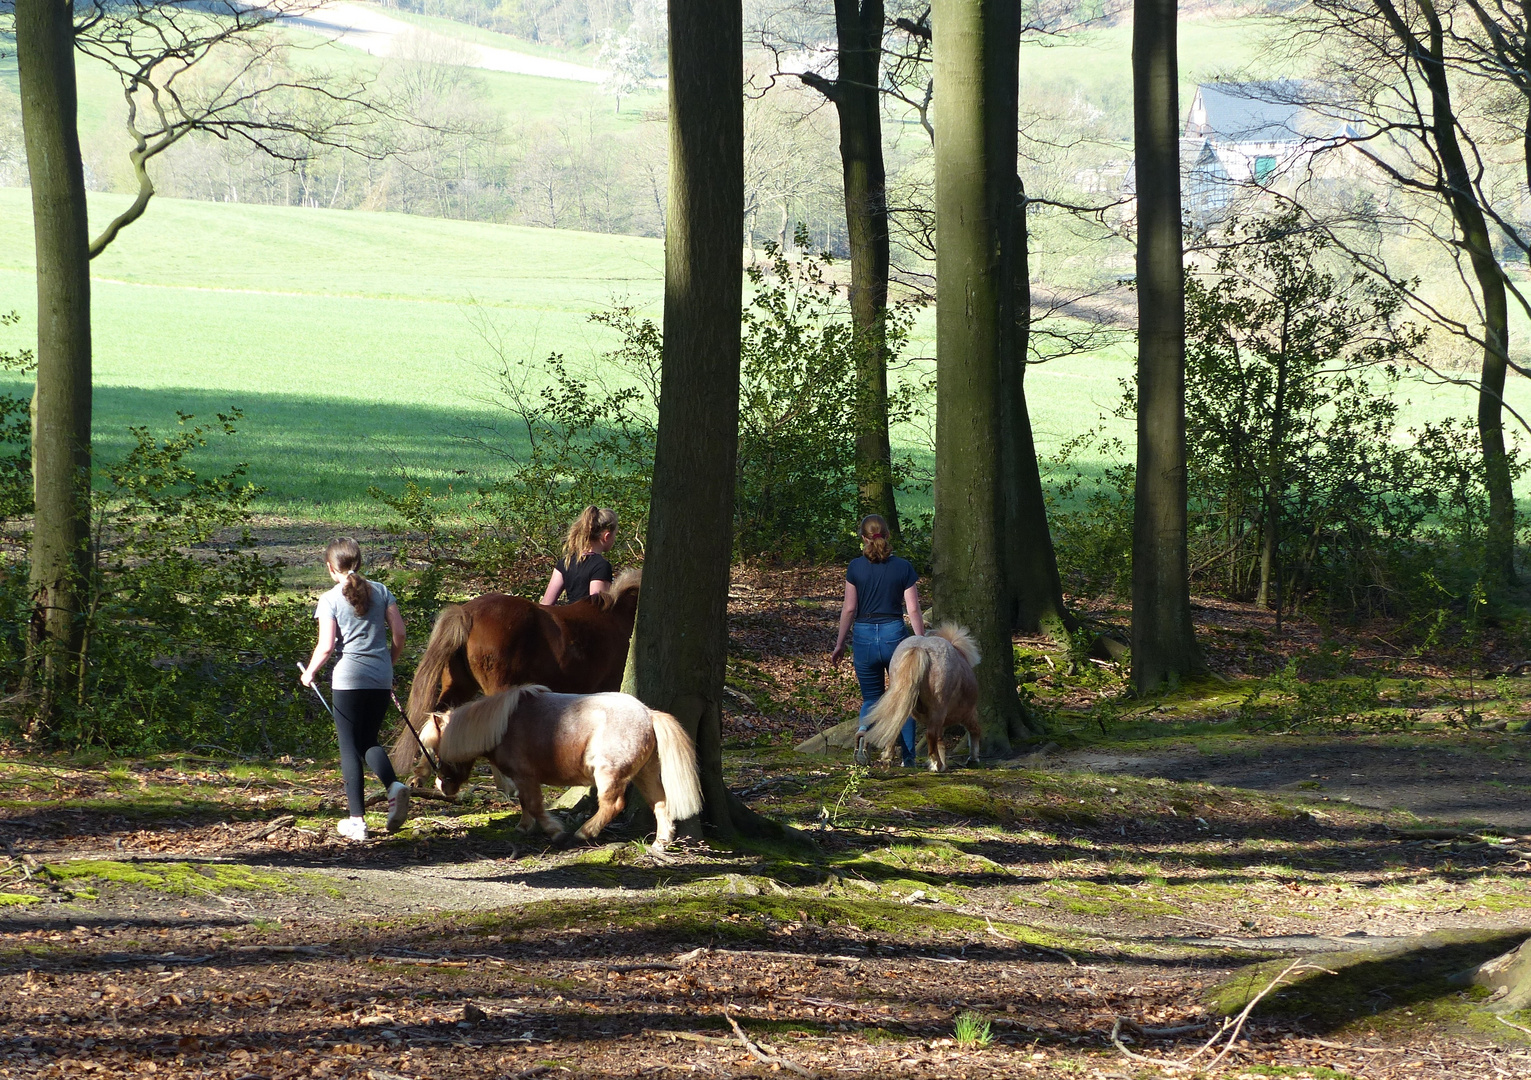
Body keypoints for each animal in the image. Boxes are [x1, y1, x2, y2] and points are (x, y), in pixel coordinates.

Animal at [410, 683, 698, 851]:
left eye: (437, 750)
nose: (442, 786)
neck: (505, 725)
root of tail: (648, 714)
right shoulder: (523, 779)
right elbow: (526, 804)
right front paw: (524, 828)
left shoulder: (526, 776)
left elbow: (535, 806)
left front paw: (555, 832)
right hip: (645, 775)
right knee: (660, 803)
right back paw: (661, 843)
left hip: (610, 775)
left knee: (613, 805)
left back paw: (583, 833)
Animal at [863, 618, 979, 772]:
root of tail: (920, 648)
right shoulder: (969, 714)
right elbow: (974, 732)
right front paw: (973, 759)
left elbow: (940, 740)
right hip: (938, 708)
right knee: (930, 734)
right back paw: (936, 763)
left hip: (904, 704)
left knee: (895, 726)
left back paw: (887, 759)